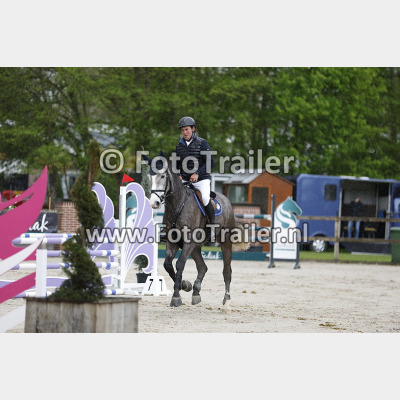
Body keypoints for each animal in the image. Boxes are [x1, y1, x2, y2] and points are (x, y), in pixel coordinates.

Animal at [142, 154, 249, 309]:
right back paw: (196, 292)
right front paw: (185, 285)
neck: (177, 205)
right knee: (202, 267)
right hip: (196, 246)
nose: (154, 203)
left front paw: (176, 296)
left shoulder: (189, 241)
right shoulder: (173, 242)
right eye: (150, 177)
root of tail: (227, 201)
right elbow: (168, 265)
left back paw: (226, 299)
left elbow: (179, 264)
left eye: (162, 176)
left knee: (227, 270)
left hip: (224, 242)